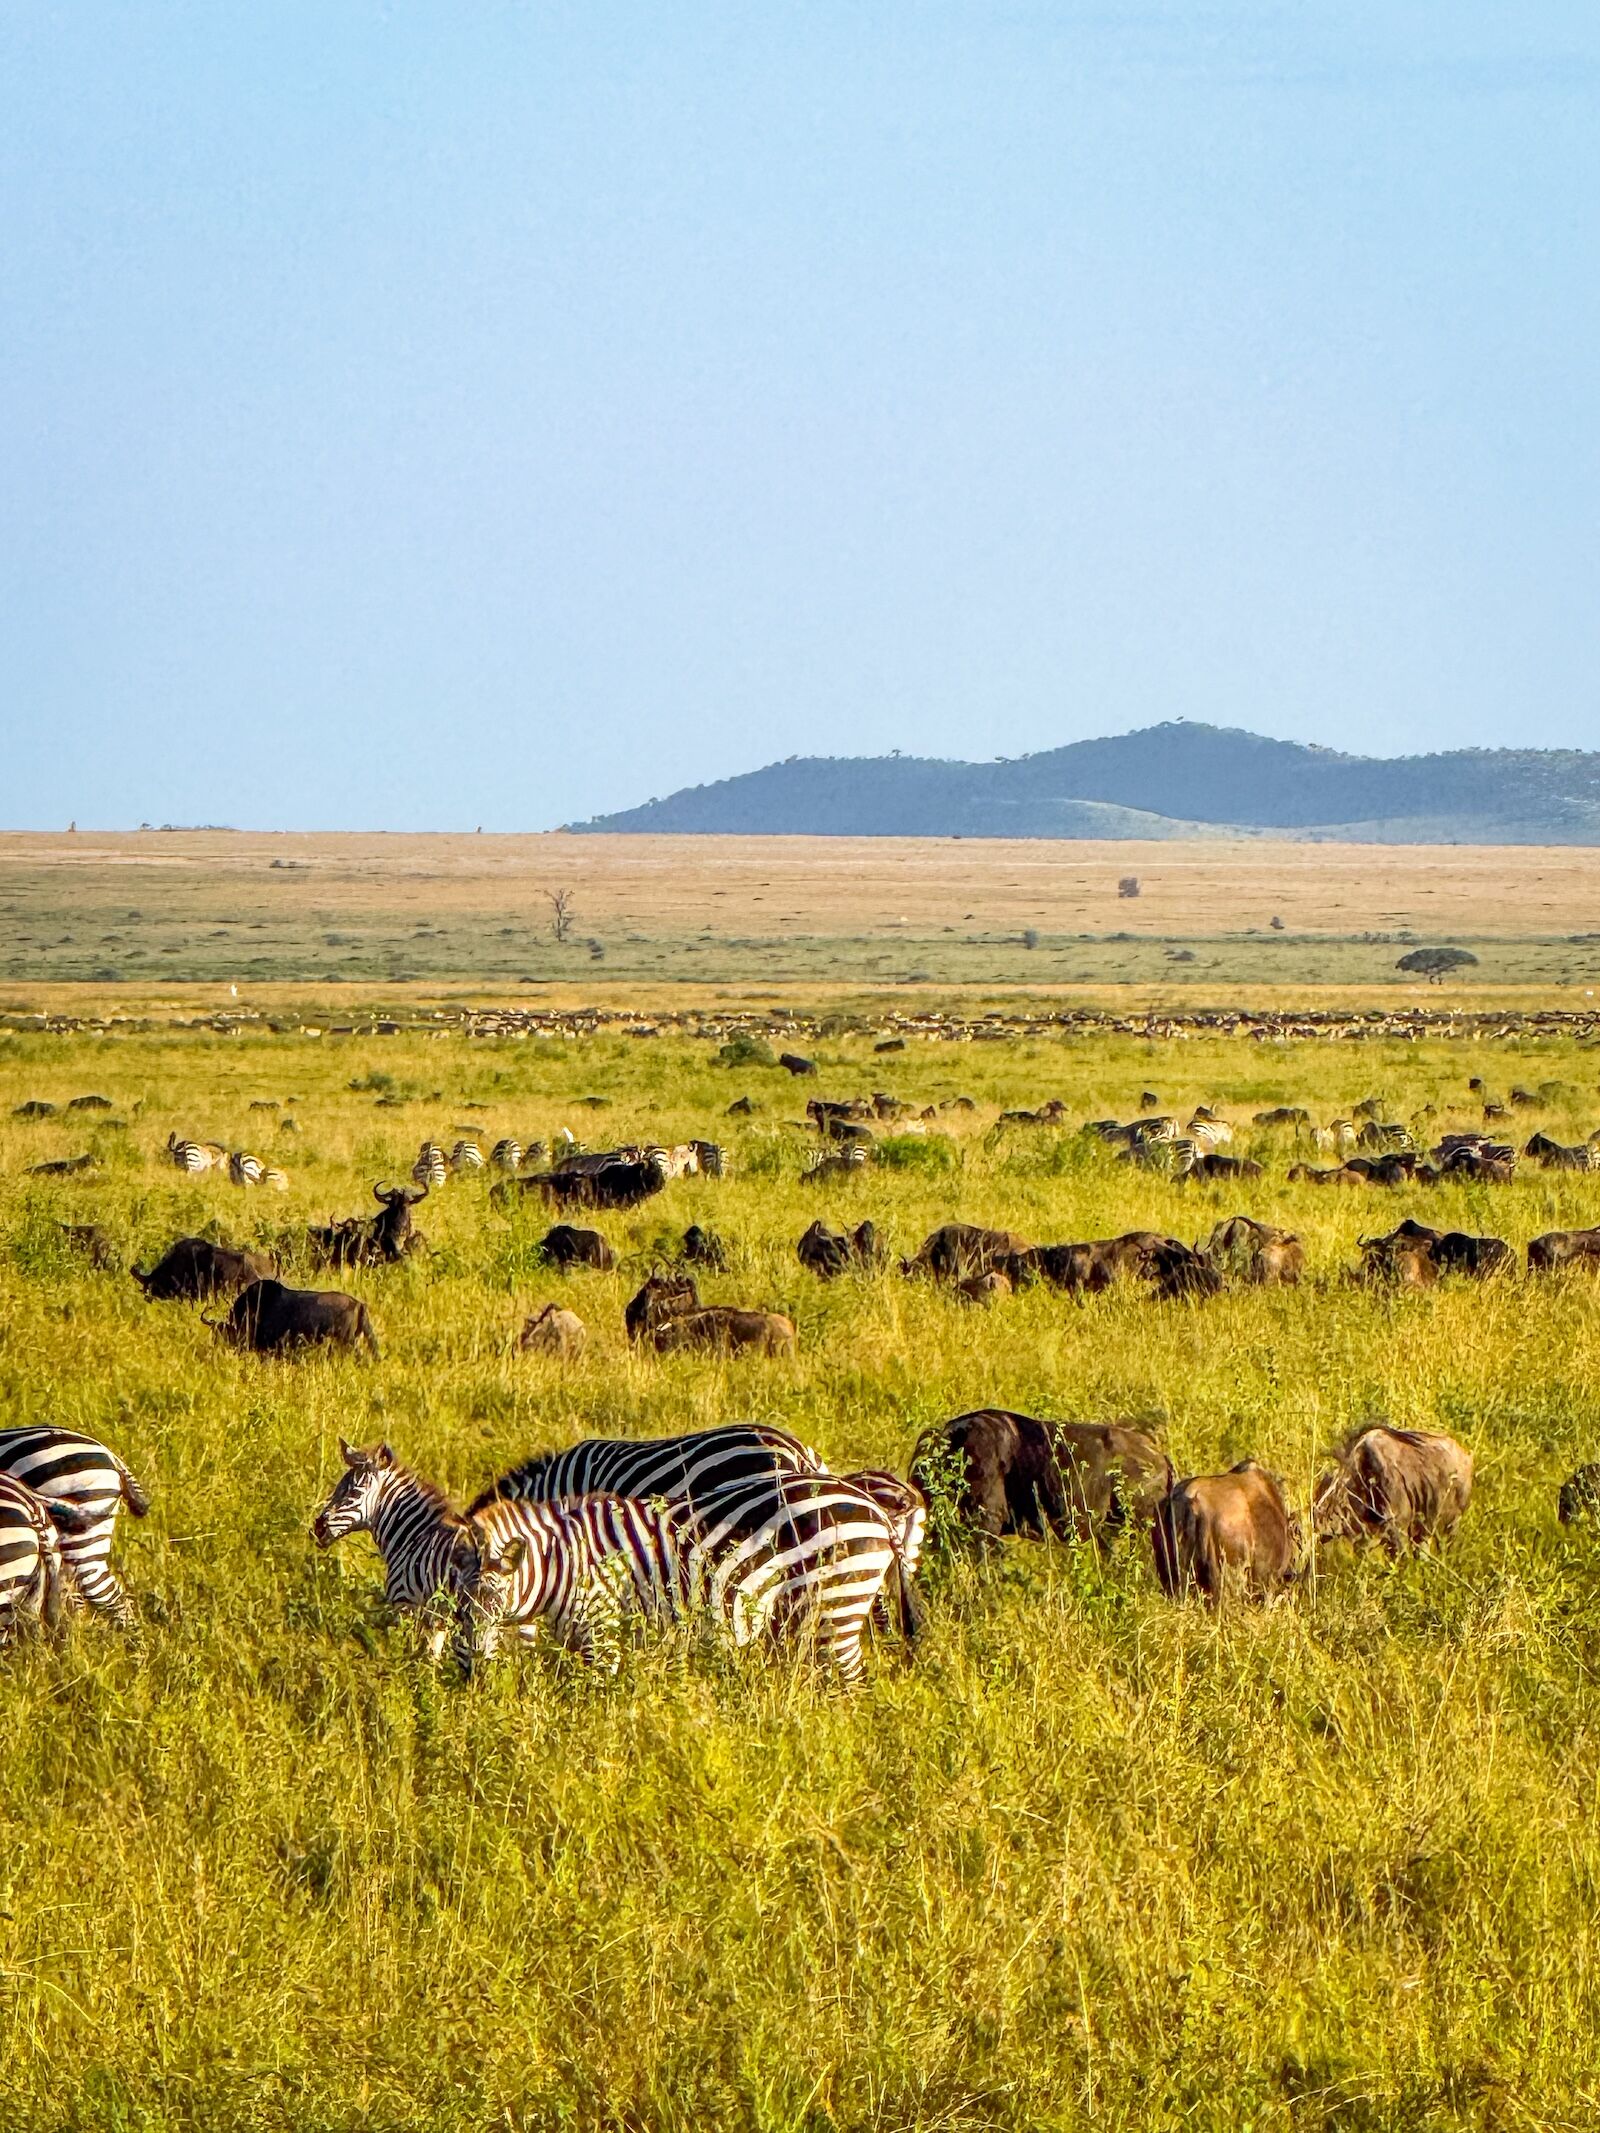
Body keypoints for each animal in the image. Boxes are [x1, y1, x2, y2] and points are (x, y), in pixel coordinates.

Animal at [456, 1470, 910, 1685]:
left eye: (493, 1605)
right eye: (459, 1609)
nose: (473, 1679)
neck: (564, 1563)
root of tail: (875, 1509)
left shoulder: (603, 1632)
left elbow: (596, 1703)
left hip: (839, 1604)